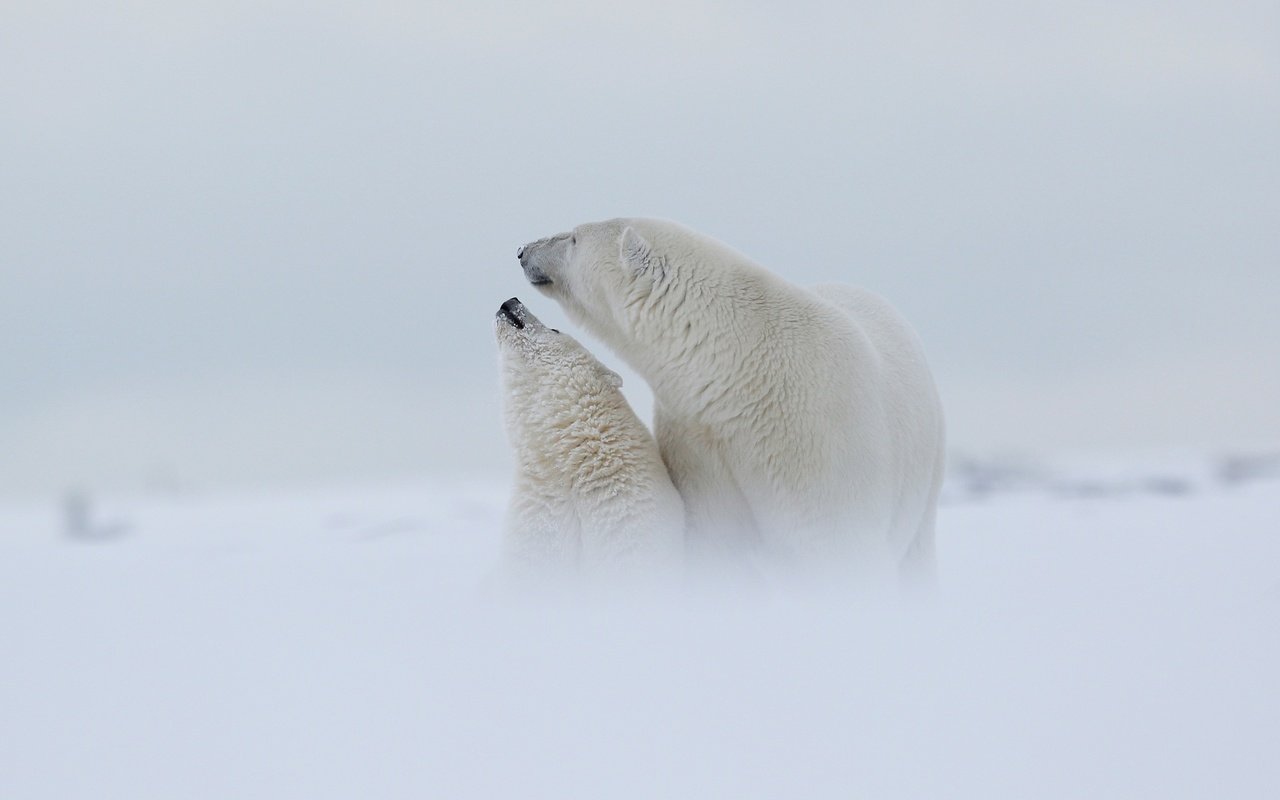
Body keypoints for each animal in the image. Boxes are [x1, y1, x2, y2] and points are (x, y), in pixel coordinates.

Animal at [514, 218, 947, 586]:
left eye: (574, 238)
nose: (522, 250)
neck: (741, 375)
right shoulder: (700, 441)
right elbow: (720, 541)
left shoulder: (820, 437)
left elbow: (837, 543)